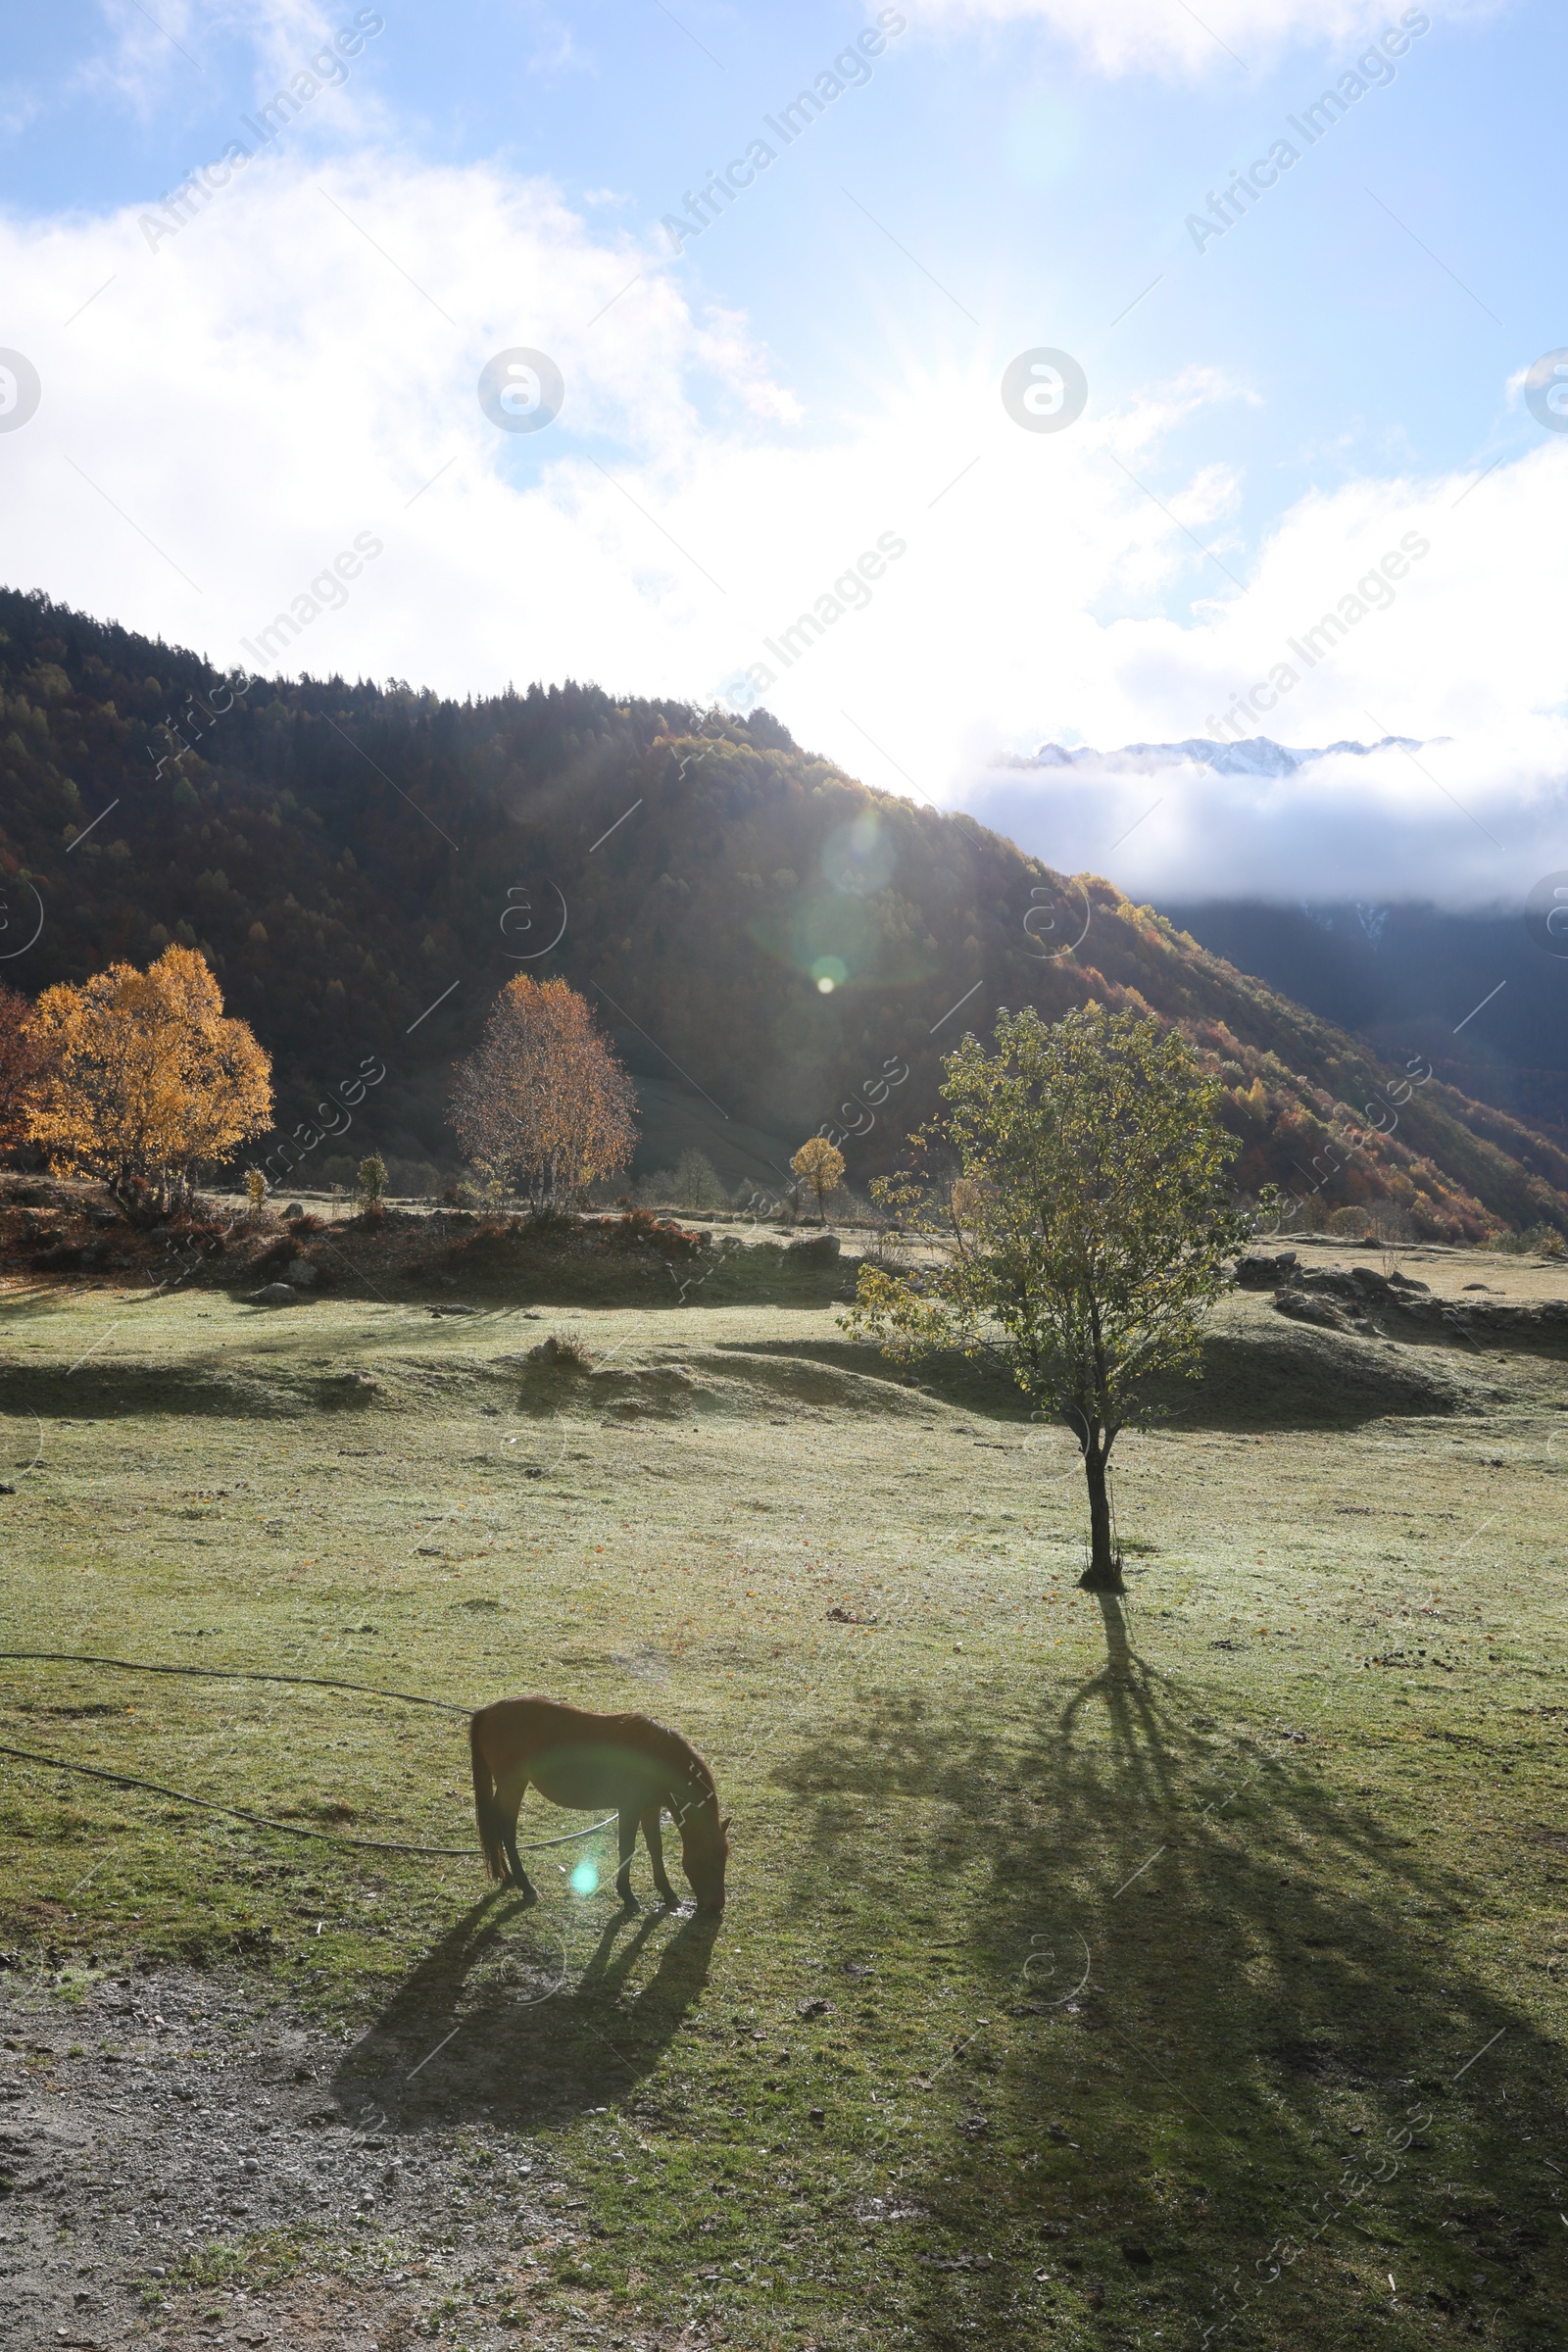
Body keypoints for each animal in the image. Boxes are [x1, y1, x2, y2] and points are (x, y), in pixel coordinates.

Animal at [469, 1693, 733, 1909]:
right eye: (710, 1859)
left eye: (724, 1857)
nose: (717, 1905)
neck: (656, 1756)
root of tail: (489, 1710)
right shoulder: (629, 1808)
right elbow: (626, 1847)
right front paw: (628, 1896)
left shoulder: (650, 1808)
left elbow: (654, 1847)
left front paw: (668, 1893)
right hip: (513, 1786)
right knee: (507, 1831)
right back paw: (526, 1886)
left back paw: (506, 1876)